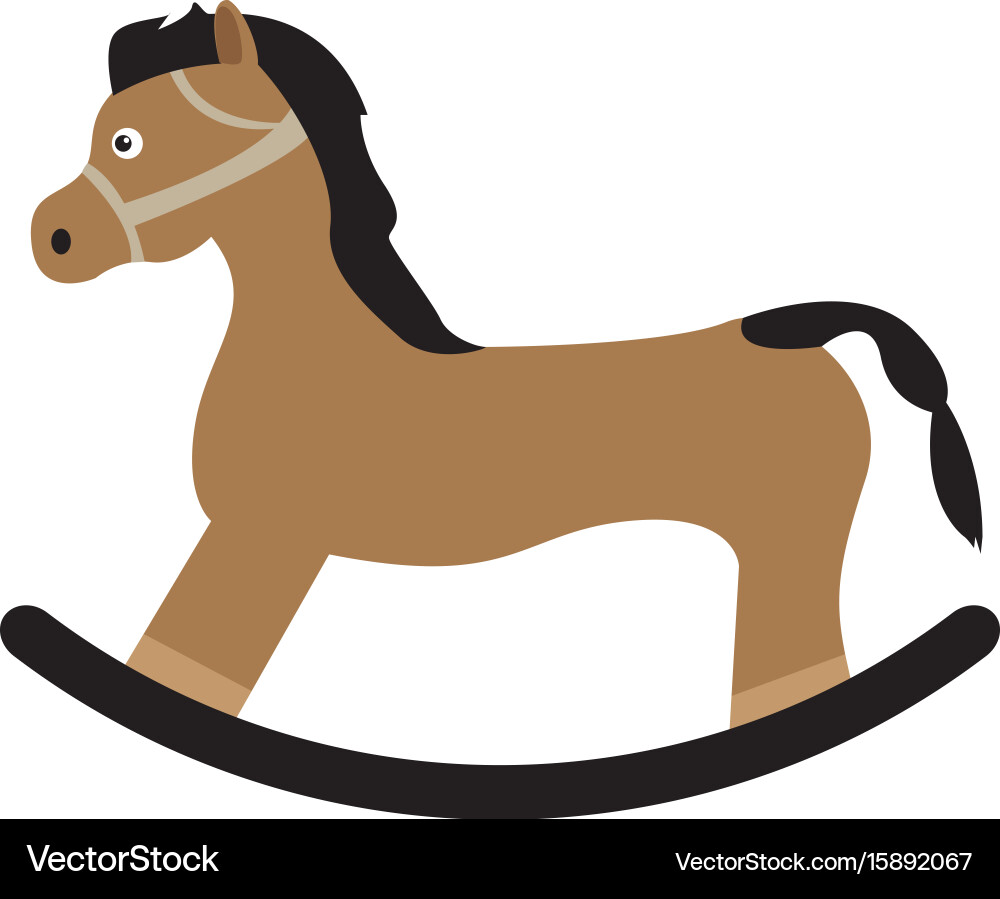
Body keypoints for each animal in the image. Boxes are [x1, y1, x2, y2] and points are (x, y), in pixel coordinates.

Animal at [19, 2, 988, 815]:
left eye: (128, 139)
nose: (51, 238)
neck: (312, 351)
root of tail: (790, 334)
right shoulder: (255, 546)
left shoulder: (260, 543)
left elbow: (176, 669)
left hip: (788, 548)